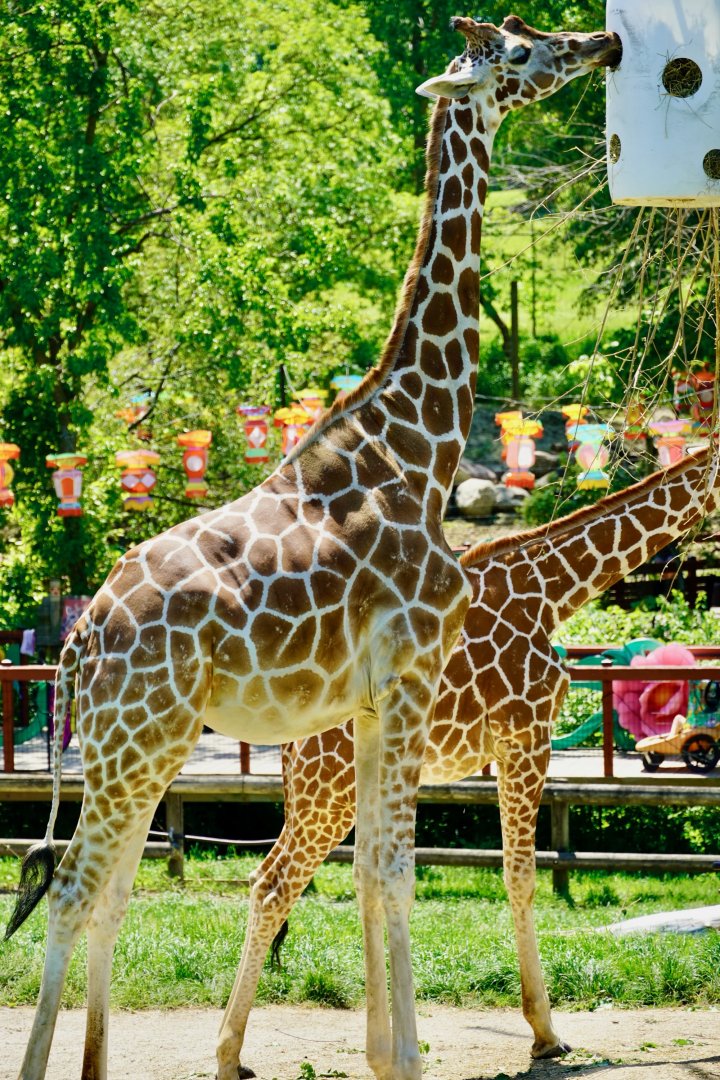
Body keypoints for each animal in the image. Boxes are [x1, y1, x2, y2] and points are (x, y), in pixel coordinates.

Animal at [4, 15, 621, 1080]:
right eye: (518, 53)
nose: (603, 42)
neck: (421, 448)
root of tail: (79, 642)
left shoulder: (373, 702)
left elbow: (369, 871)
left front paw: (382, 1052)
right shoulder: (412, 675)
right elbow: (397, 870)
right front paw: (407, 1056)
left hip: (145, 744)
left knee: (108, 890)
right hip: (137, 739)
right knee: (78, 888)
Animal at [223, 442, 720, 1075]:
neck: (553, 589)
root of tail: (289, 744)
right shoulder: (525, 734)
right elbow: (520, 875)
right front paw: (545, 1033)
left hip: (346, 788)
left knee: (339, 878)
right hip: (325, 793)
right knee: (271, 883)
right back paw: (228, 1055)